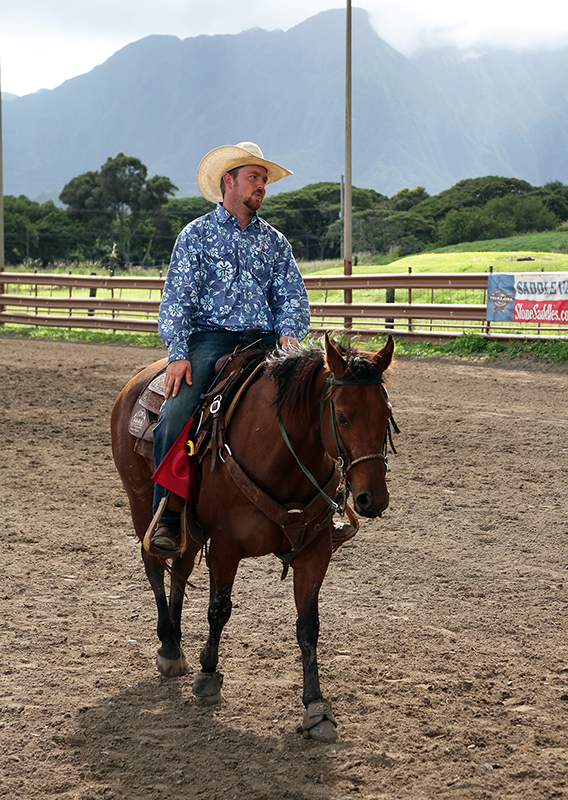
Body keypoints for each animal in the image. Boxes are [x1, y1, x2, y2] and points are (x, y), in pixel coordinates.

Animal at [111, 334, 394, 740]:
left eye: (386, 414)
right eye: (341, 416)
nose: (374, 499)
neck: (280, 453)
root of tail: (136, 381)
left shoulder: (315, 551)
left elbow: (308, 626)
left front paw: (316, 707)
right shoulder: (225, 548)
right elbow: (219, 610)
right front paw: (208, 676)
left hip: (189, 524)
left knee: (180, 566)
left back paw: (176, 645)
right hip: (140, 501)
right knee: (154, 562)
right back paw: (167, 646)